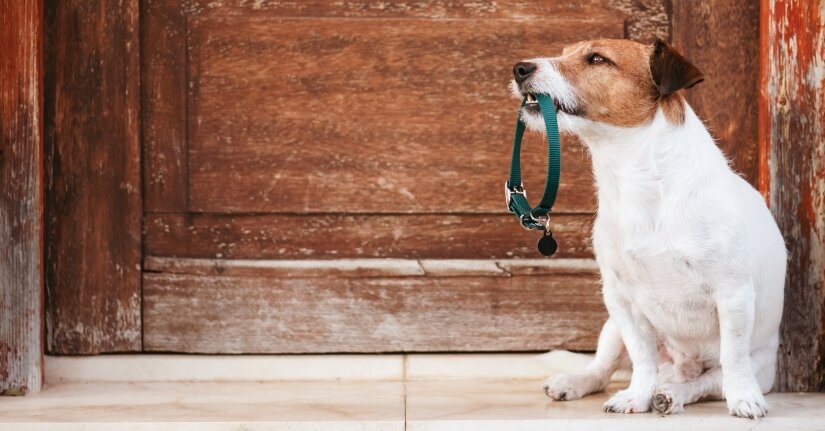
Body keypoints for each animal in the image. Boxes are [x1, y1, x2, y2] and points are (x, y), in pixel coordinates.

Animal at [508, 38, 784, 420]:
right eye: (565, 53)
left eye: (597, 59)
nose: (519, 68)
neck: (637, 181)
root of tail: (679, 366)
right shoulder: (620, 299)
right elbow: (642, 357)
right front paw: (636, 397)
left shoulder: (734, 294)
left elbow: (732, 358)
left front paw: (744, 399)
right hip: (611, 328)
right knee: (603, 368)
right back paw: (578, 382)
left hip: (758, 367)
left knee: (707, 381)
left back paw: (673, 394)